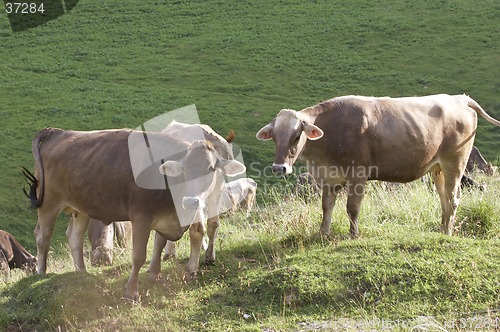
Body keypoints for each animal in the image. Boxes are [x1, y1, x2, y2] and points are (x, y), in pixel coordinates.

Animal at [24, 127, 244, 300]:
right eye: (184, 170)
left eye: (210, 169)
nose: (191, 201)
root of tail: (58, 132)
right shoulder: (141, 217)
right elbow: (139, 255)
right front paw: (131, 291)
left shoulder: (165, 218)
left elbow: (162, 242)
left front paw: (156, 272)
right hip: (49, 203)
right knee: (43, 236)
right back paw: (41, 271)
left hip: (80, 208)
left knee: (74, 238)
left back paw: (82, 272)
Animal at [258, 94, 500, 237]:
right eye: (274, 137)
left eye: (297, 136)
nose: (279, 168)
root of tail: (459, 98)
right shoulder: (329, 177)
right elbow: (326, 207)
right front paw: (323, 234)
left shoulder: (358, 174)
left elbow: (352, 208)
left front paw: (353, 236)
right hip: (437, 168)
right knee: (444, 199)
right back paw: (441, 230)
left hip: (455, 163)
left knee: (453, 198)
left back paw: (448, 232)